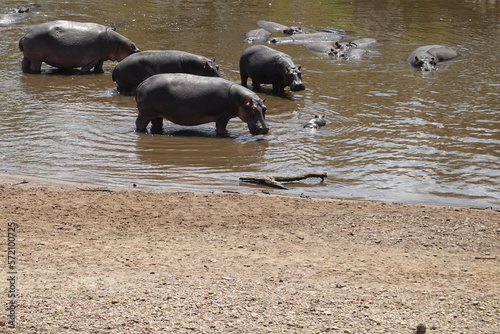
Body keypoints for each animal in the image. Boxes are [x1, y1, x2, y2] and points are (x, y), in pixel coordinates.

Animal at [135, 73, 270, 136]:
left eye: (264, 108)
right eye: (253, 108)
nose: (264, 129)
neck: (241, 100)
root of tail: (141, 84)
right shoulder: (223, 116)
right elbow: (221, 129)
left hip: (157, 115)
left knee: (156, 124)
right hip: (145, 114)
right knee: (139, 124)